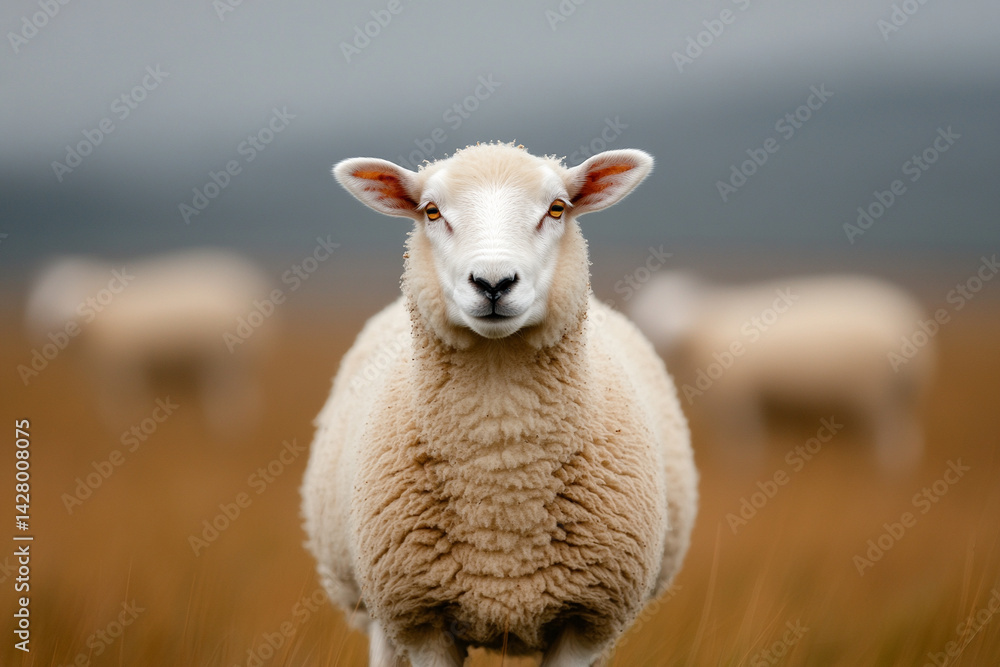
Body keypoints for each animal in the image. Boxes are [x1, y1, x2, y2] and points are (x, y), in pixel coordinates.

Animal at [23, 249, 274, 435]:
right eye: (45, 292)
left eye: (72, 289)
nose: (47, 321)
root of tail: (253, 281)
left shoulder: (122, 357)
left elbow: (123, 393)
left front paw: (122, 419)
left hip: (226, 351)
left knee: (230, 391)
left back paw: (228, 424)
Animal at [300, 143, 697, 667]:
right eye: (432, 211)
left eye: (557, 208)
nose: (493, 282)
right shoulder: (420, 620)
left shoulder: (587, 622)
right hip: (380, 611)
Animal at [627, 272, 934, 471]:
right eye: (648, 309)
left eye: (676, 308)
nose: (666, 336)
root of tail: (909, 323)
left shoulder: (738, 396)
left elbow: (743, 435)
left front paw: (741, 463)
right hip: (891, 395)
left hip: (877, 393)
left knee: (893, 435)